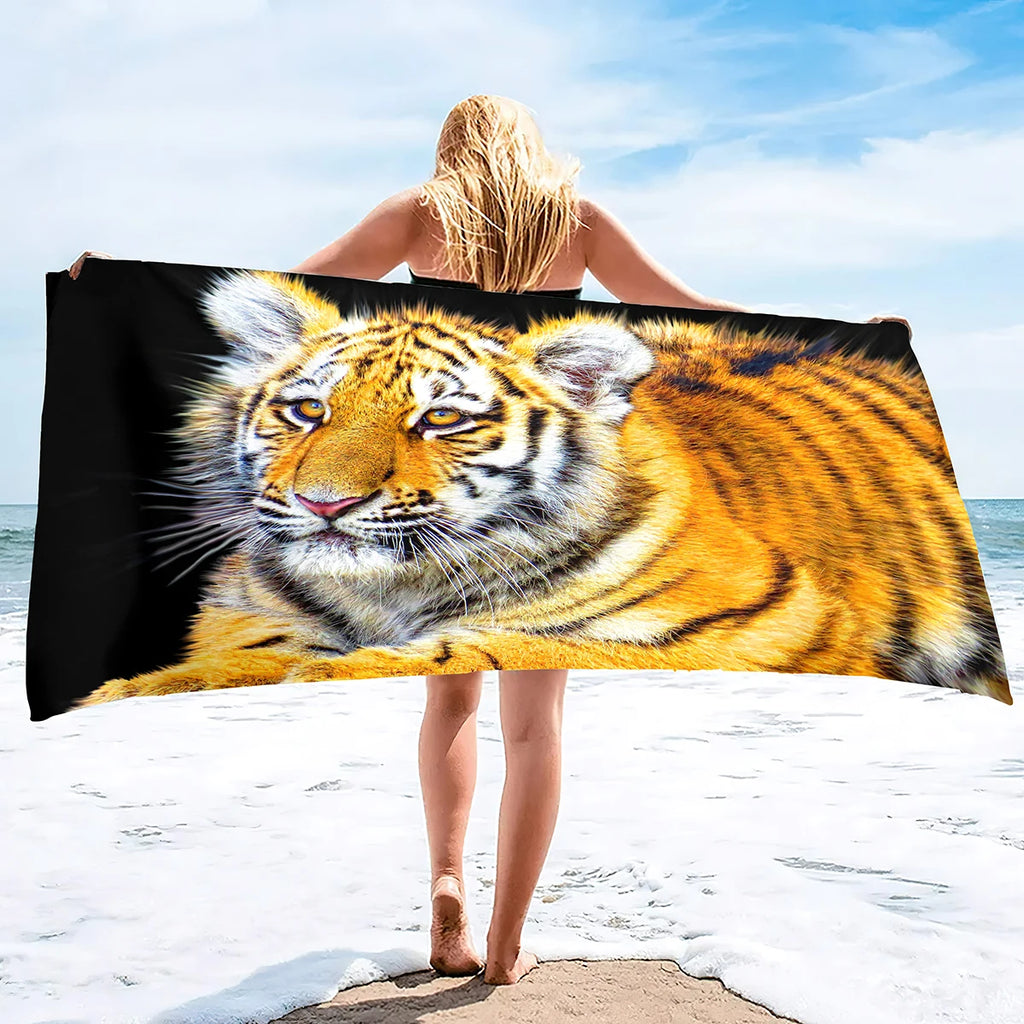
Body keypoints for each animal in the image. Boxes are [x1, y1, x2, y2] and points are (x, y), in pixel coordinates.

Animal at [73, 269, 1011, 708]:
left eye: (440, 420)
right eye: (307, 410)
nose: (324, 504)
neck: (391, 595)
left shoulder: (774, 630)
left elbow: (506, 648)